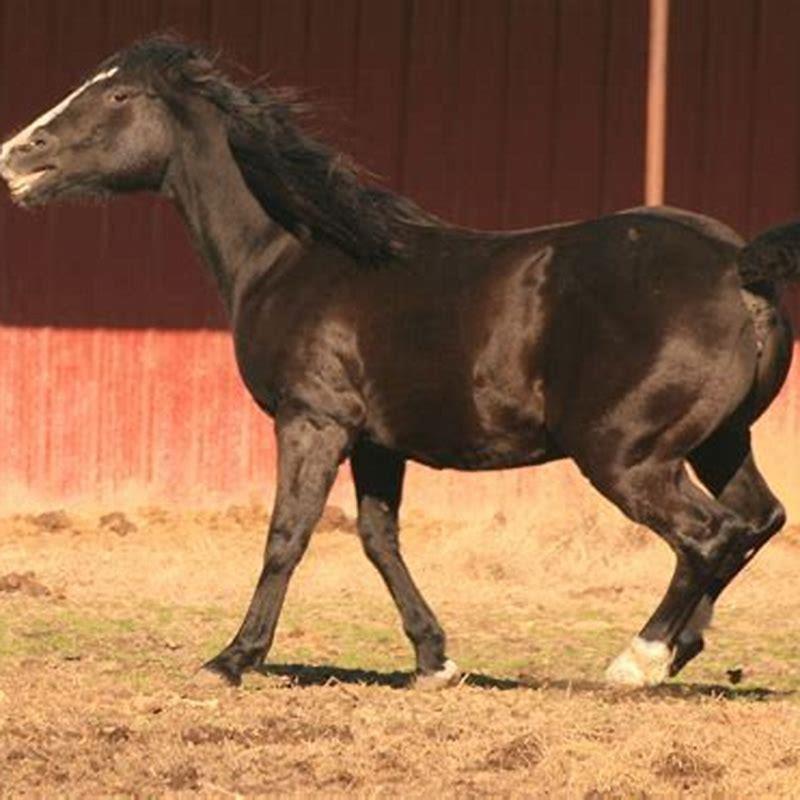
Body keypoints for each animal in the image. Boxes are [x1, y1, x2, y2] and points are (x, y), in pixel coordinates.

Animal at [0, 37, 796, 688]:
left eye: (118, 96)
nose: (15, 155)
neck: (292, 255)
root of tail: (737, 264)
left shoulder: (312, 420)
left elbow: (287, 536)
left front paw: (230, 659)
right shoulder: (378, 443)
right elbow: (378, 541)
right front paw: (434, 660)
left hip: (627, 456)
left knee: (710, 534)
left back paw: (640, 659)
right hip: (721, 441)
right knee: (755, 521)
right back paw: (679, 649)